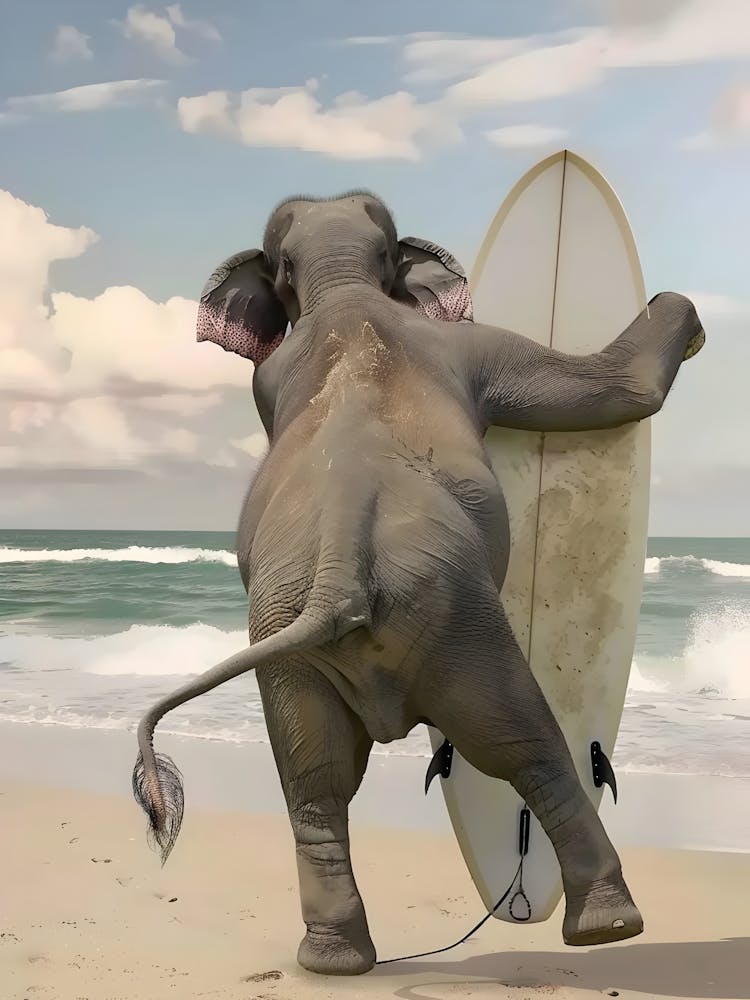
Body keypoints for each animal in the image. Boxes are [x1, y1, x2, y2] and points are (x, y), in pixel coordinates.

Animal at [132, 190, 705, 976]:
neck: (344, 290)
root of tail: (339, 568)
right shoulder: (471, 348)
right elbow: (604, 390)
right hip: (459, 616)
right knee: (524, 743)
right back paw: (608, 926)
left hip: (286, 638)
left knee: (315, 781)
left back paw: (334, 961)